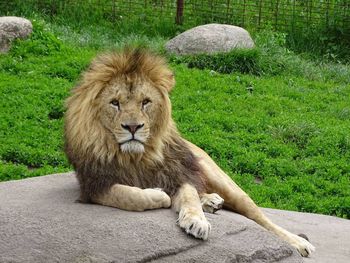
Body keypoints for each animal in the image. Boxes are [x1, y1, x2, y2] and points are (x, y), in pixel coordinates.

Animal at [64, 48, 316, 258]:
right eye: (115, 103)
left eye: (145, 102)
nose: (133, 127)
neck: (136, 156)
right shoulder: (94, 185)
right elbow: (128, 195)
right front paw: (159, 195)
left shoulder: (178, 172)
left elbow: (189, 196)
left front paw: (197, 222)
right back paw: (212, 201)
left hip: (221, 179)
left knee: (259, 217)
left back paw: (299, 243)